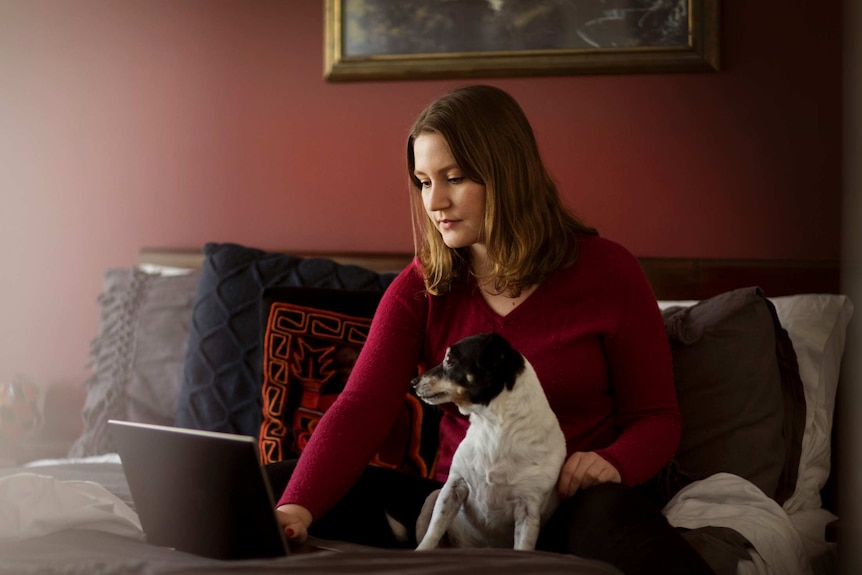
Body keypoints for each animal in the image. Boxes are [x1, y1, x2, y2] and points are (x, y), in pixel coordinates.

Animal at [412, 336, 568, 552]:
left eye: (449, 360)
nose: (413, 382)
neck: (492, 426)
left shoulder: (528, 510)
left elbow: (523, 547)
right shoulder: (454, 486)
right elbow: (433, 532)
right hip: (432, 498)